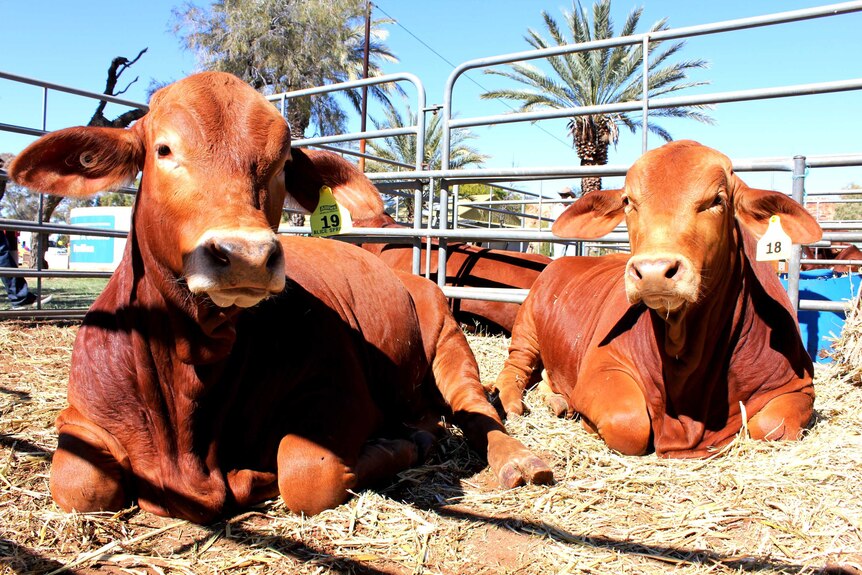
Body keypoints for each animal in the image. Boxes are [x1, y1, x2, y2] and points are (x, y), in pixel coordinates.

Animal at [10, 71, 552, 520]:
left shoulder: (339, 393)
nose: (246, 254)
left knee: (475, 410)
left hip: (448, 342)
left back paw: (518, 461)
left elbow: (306, 473)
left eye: (281, 163)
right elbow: (80, 485)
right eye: (163, 150)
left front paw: (404, 445)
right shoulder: (81, 418)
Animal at [492, 141, 824, 460]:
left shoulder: (800, 386)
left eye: (717, 200)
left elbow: (771, 425)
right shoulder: (601, 368)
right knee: (514, 369)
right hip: (526, 328)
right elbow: (628, 422)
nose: (653, 271)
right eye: (628, 201)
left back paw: (557, 401)